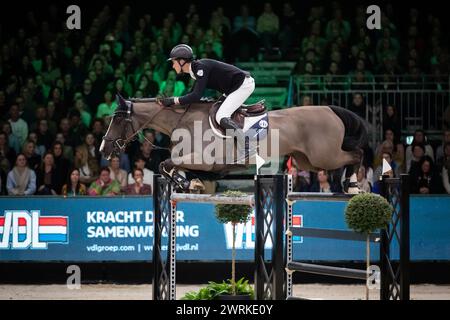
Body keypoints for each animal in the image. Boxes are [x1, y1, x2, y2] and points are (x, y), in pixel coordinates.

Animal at [100, 94, 368, 190]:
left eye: (117, 119)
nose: (103, 149)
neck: (184, 121)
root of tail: (331, 109)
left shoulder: (204, 161)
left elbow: (165, 163)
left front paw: (185, 182)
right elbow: (168, 165)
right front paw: (189, 182)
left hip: (324, 155)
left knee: (357, 154)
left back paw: (352, 183)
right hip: (308, 161)